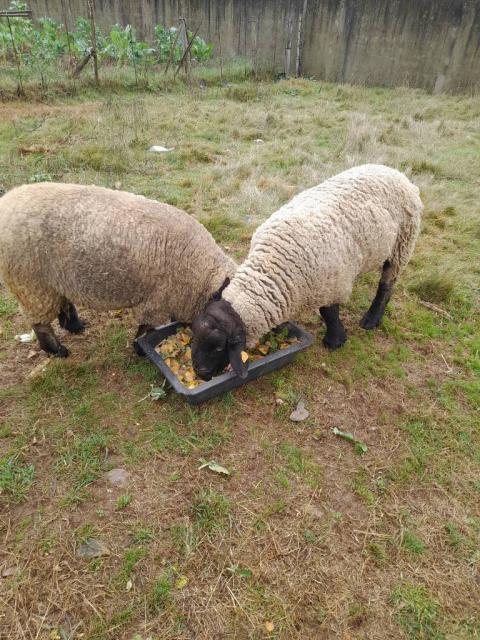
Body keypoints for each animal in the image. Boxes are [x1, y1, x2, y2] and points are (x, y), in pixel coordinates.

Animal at [0, 182, 236, 358]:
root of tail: (6, 200)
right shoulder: (155, 303)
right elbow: (146, 329)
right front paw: (140, 349)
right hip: (30, 282)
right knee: (40, 323)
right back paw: (57, 350)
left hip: (52, 280)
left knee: (62, 303)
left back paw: (75, 326)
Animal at [189, 165, 422, 380]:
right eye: (193, 338)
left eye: (219, 347)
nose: (200, 373)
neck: (271, 267)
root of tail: (395, 172)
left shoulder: (332, 283)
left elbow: (329, 312)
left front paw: (335, 341)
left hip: (402, 244)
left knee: (387, 285)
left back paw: (371, 320)